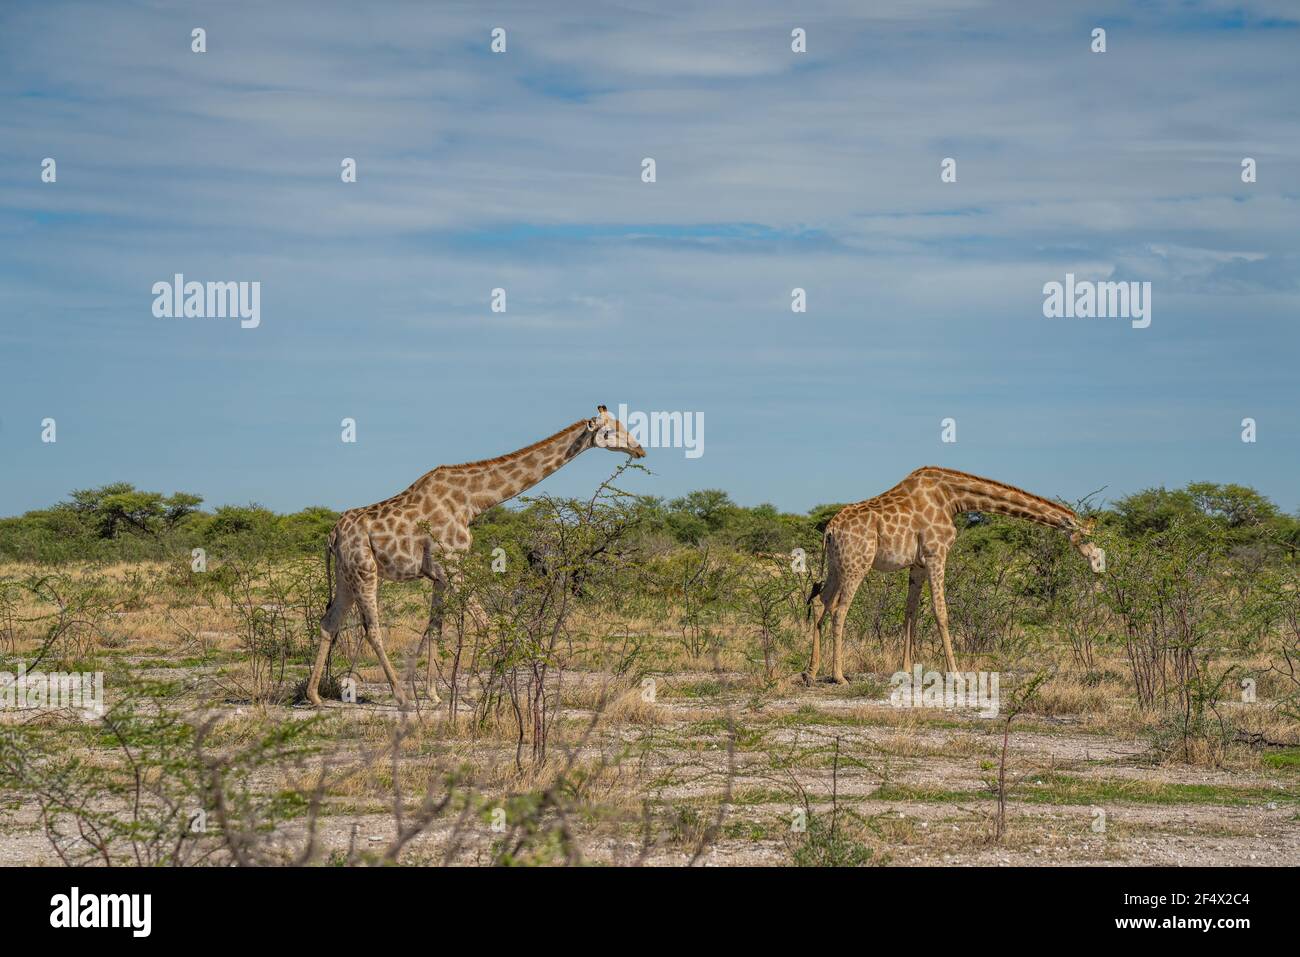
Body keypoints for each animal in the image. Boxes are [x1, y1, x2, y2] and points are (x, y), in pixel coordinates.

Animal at [305, 406, 646, 707]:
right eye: (609, 431)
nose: (640, 449)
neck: (471, 502)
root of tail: (332, 535)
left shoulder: (440, 573)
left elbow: (435, 628)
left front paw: (434, 694)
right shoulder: (453, 566)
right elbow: (485, 623)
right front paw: (469, 692)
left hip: (346, 575)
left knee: (329, 622)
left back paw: (316, 696)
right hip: (365, 570)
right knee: (372, 628)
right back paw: (399, 697)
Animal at [805, 467, 1105, 684]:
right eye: (1085, 537)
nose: (1099, 564)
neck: (953, 498)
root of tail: (829, 529)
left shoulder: (918, 564)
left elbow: (910, 613)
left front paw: (906, 670)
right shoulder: (936, 554)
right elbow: (941, 612)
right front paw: (957, 673)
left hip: (837, 566)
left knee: (820, 602)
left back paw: (811, 671)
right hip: (857, 564)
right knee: (840, 610)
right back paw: (839, 676)